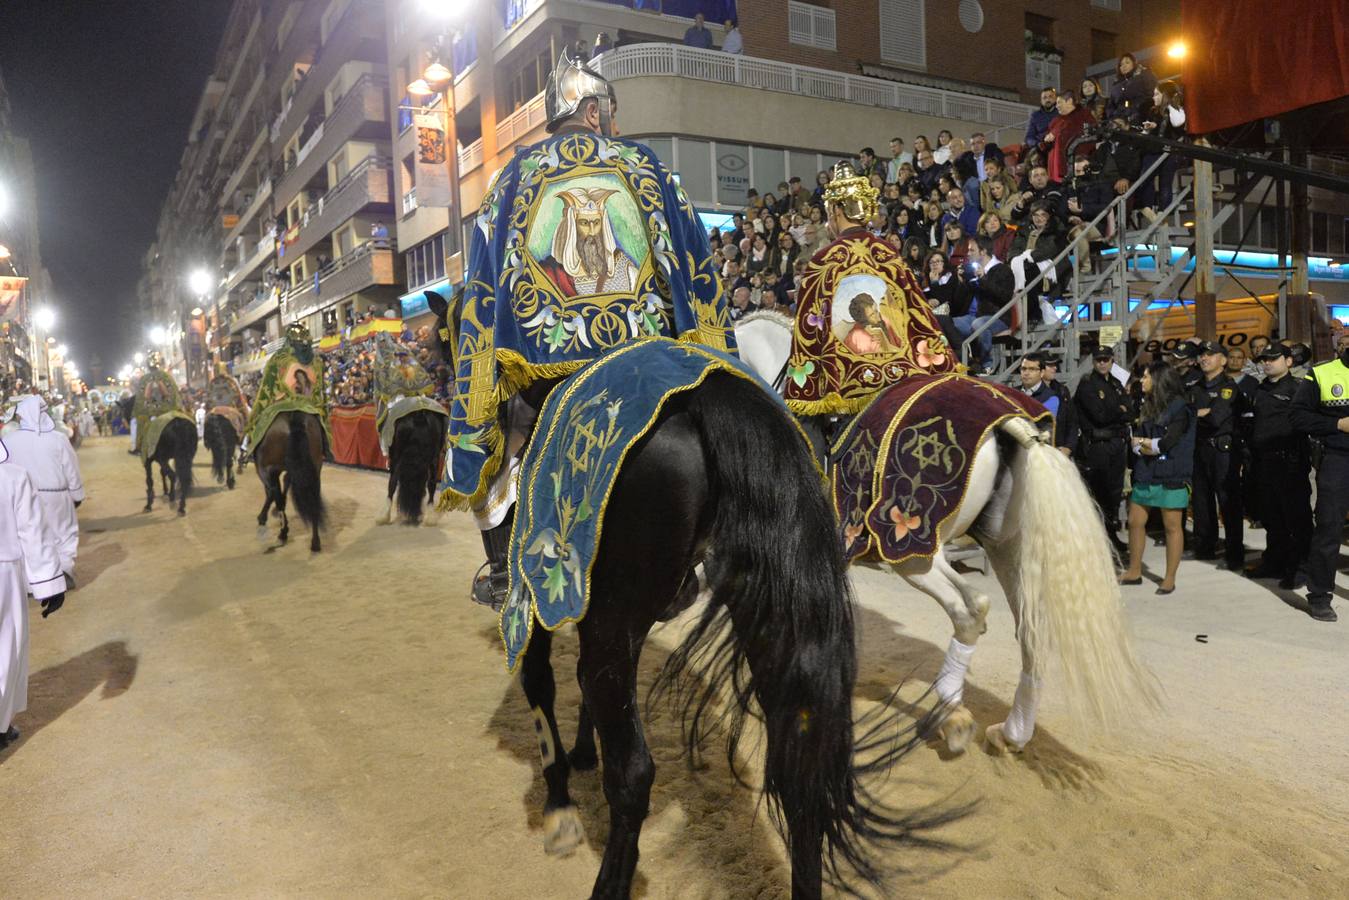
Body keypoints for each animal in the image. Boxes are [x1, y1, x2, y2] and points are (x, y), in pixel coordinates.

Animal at [253, 412, 326, 553]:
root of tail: (294, 419)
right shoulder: (293, 470)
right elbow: (284, 486)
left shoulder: (268, 470)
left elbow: (273, 494)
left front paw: (263, 517)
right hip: (314, 468)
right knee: (313, 498)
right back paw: (315, 542)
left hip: (269, 468)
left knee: (275, 494)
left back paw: (282, 532)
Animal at [420, 294, 949, 895]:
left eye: (444, 339)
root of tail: (706, 393)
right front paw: (581, 754)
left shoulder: (542, 605)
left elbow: (543, 685)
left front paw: (559, 802)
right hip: (763, 603)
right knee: (799, 765)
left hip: (618, 616)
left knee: (633, 773)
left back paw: (608, 882)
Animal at [733, 313, 1154, 755]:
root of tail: (1013, 424)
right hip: (1006, 547)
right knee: (1028, 628)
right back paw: (1011, 732)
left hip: (914, 552)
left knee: (970, 609)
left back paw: (953, 714)